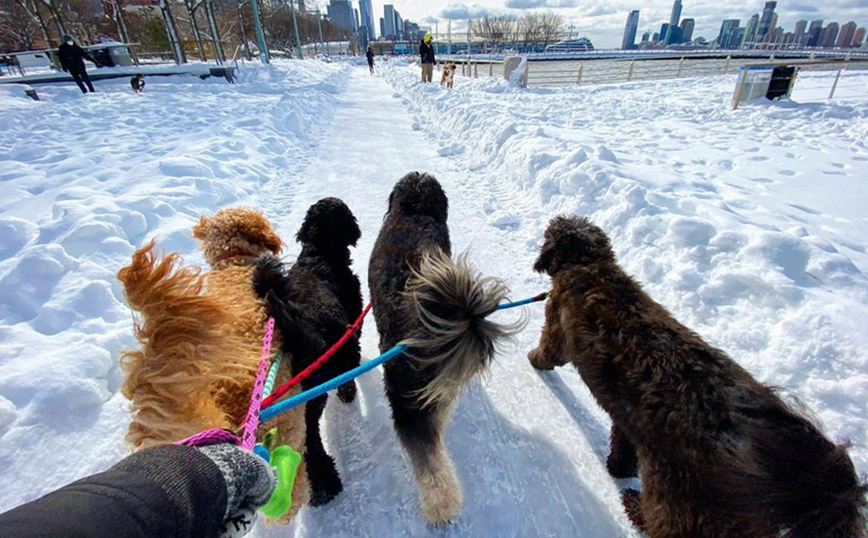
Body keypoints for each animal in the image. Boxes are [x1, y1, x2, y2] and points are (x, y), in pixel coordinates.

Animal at [253, 196, 362, 502]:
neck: (318, 254)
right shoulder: (353, 325)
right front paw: (348, 392)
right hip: (313, 393)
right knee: (311, 438)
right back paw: (327, 484)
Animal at [524, 214, 864, 536]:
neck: (589, 264)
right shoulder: (629, 419)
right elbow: (623, 443)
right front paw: (618, 467)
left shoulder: (556, 328)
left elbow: (548, 351)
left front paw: (534, 359)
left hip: (683, 501)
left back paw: (635, 507)